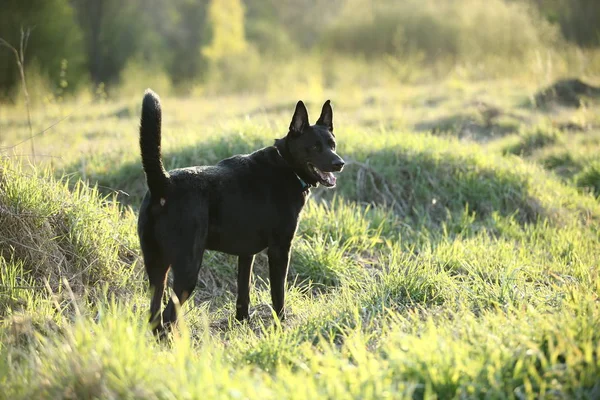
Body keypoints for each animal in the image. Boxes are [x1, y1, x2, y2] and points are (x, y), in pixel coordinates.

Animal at [136, 90, 342, 334]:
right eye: (315, 147)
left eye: (332, 144)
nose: (340, 163)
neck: (286, 165)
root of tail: (164, 183)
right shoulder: (280, 250)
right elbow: (278, 294)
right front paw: (280, 326)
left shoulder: (246, 254)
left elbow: (244, 293)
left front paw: (243, 323)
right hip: (188, 269)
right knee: (169, 316)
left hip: (156, 268)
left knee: (155, 315)